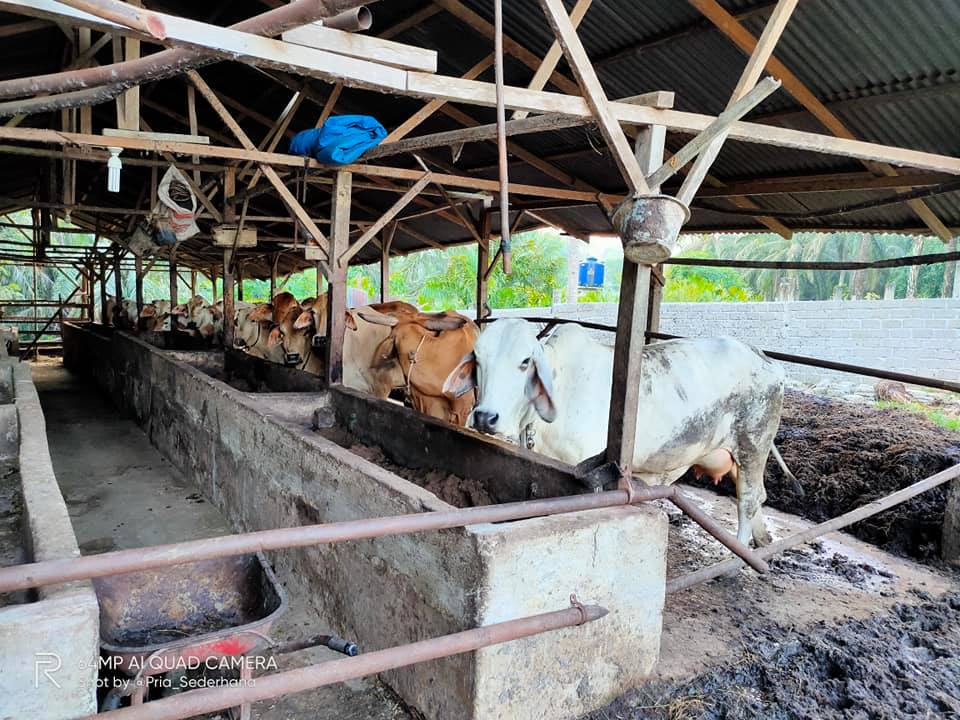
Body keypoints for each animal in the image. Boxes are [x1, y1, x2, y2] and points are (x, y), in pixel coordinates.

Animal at [444, 319, 785, 547]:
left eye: (526, 361)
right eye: (477, 359)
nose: (485, 416)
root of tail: (763, 359)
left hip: (753, 443)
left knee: (749, 499)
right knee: (755, 496)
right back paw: (761, 540)